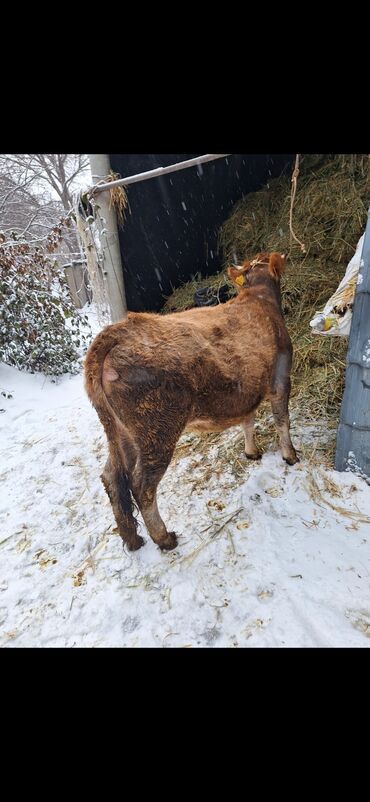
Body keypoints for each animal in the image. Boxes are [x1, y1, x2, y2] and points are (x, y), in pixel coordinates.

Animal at [84, 250, 298, 552]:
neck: (257, 296)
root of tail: (117, 330)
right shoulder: (281, 378)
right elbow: (282, 420)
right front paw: (290, 456)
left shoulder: (247, 387)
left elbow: (247, 420)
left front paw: (251, 452)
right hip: (157, 430)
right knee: (142, 485)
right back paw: (163, 538)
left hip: (120, 431)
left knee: (112, 477)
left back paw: (133, 539)